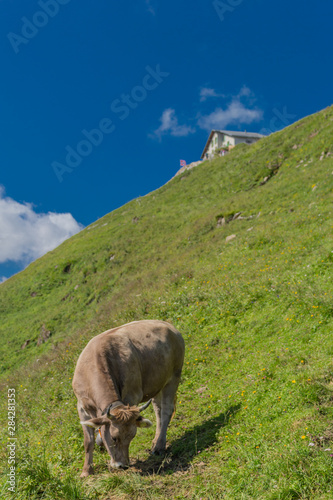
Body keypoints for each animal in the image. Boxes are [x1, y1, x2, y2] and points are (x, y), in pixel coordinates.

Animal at [71, 320, 184, 476]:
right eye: (114, 438)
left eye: (132, 437)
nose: (122, 465)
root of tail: (167, 325)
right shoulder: (81, 406)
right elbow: (89, 441)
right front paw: (86, 471)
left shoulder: (132, 397)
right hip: (156, 383)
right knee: (158, 410)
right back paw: (155, 441)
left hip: (174, 376)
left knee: (167, 410)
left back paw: (159, 446)